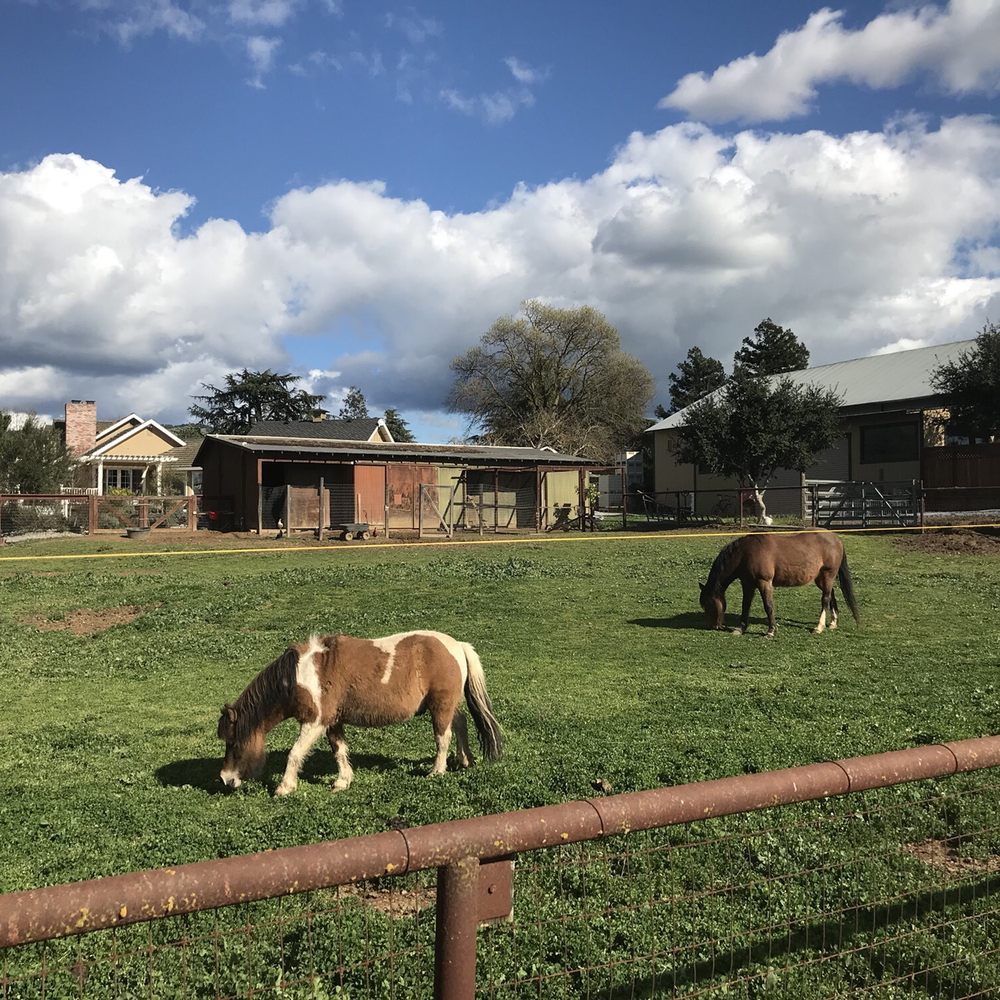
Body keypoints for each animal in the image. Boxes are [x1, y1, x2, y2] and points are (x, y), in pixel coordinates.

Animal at [217, 630, 503, 795]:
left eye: (233, 742)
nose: (225, 779)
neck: (299, 675)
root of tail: (457, 646)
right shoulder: (332, 722)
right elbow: (339, 751)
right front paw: (343, 781)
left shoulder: (315, 721)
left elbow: (295, 753)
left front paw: (285, 787)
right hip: (446, 705)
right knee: (460, 724)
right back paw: (465, 760)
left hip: (440, 707)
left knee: (443, 737)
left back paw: (437, 770)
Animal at [699, 531, 859, 638]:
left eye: (708, 604)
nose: (713, 626)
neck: (746, 553)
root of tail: (836, 539)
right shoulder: (748, 584)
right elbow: (745, 606)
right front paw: (740, 628)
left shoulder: (764, 583)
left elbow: (768, 606)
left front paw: (771, 631)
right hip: (821, 578)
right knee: (831, 594)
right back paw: (833, 623)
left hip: (828, 575)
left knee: (825, 599)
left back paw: (819, 627)